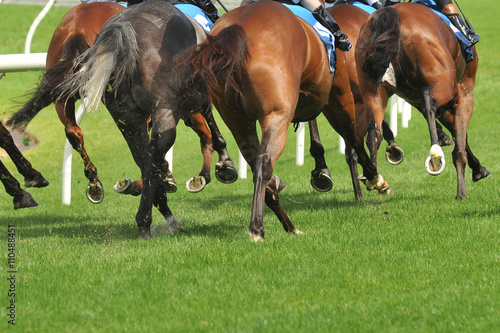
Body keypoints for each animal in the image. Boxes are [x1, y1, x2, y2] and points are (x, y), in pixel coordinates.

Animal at [176, 0, 390, 239]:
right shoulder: (339, 95)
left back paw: (288, 225)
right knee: (264, 163)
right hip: (278, 115)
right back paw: (257, 227)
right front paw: (374, 177)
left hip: (237, 119)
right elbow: (354, 139)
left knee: (256, 164)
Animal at [356, 2, 492, 197]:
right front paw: (463, 189)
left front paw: (477, 168)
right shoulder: (464, 93)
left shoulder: (419, 100)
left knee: (373, 132)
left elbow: (458, 133)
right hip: (442, 85)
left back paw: (374, 177)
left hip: (373, 92)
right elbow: (460, 137)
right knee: (430, 105)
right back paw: (435, 155)